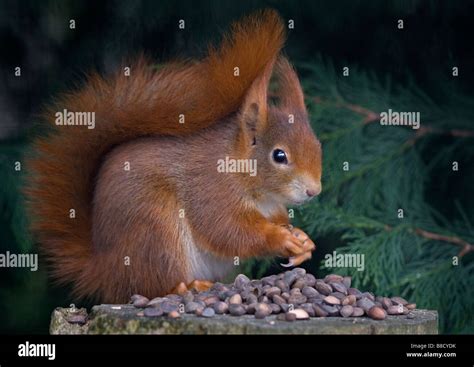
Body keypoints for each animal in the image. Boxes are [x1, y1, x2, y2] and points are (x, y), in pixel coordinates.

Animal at [25, 10, 322, 304]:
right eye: (279, 155)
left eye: (318, 146)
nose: (314, 191)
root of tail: (103, 270)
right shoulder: (211, 191)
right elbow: (228, 230)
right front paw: (281, 238)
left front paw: (303, 240)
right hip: (155, 228)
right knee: (151, 285)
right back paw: (185, 287)